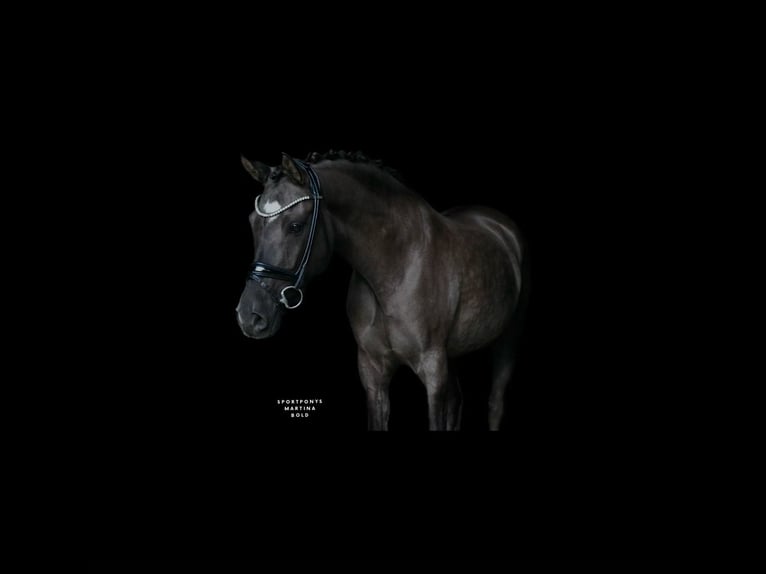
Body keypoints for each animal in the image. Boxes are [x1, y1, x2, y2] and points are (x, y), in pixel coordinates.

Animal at [236, 151, 528, 431]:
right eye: (252, 222)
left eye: (295, 226)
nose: (250, 316)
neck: (397, 267)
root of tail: (499, 225)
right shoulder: (373, 370)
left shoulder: (433, 369)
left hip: (507, 339)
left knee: (495, 404)